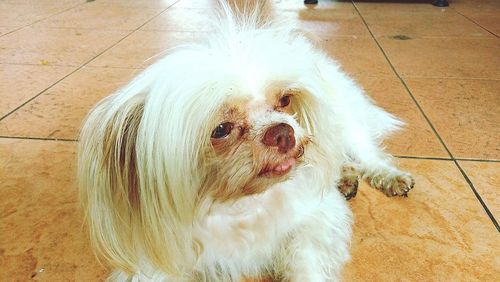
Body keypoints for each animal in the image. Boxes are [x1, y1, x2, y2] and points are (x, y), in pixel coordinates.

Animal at [78, 1, 414, 280]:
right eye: (221, 129)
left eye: (285, 100)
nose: (283, 132)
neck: (245, 205)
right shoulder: (158, 265)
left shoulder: (316, 220)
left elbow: (305, 260)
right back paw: (344, 177)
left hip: (345, 122)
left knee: (365, 153)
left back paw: (388, 176)